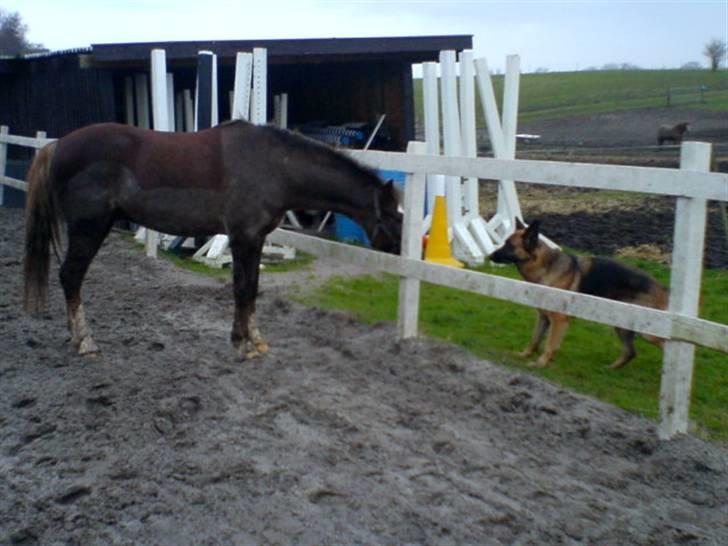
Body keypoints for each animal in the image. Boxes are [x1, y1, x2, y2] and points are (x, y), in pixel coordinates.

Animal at [22, 120, 400, 356]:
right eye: (396, 215)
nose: (398, 250)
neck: (275, 165)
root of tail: (57, 146)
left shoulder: (254, 239)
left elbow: (252, 288)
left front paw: (254, 340)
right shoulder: (243, 236)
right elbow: (242, 289)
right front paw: (243, 344)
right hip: (89, 228)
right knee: (71, 277)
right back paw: (86, 342)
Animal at [490, 219, 664, 368]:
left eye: (509, 245)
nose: (489, 255)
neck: (545, 266)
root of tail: (664, 289)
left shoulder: (559, 320)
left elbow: (550, 344)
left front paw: (541, 363)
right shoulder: (543, 317)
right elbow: (535, 339)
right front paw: (524, 355)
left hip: (647, 332)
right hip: (621, 324)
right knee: (630, 352)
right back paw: (609, 368)